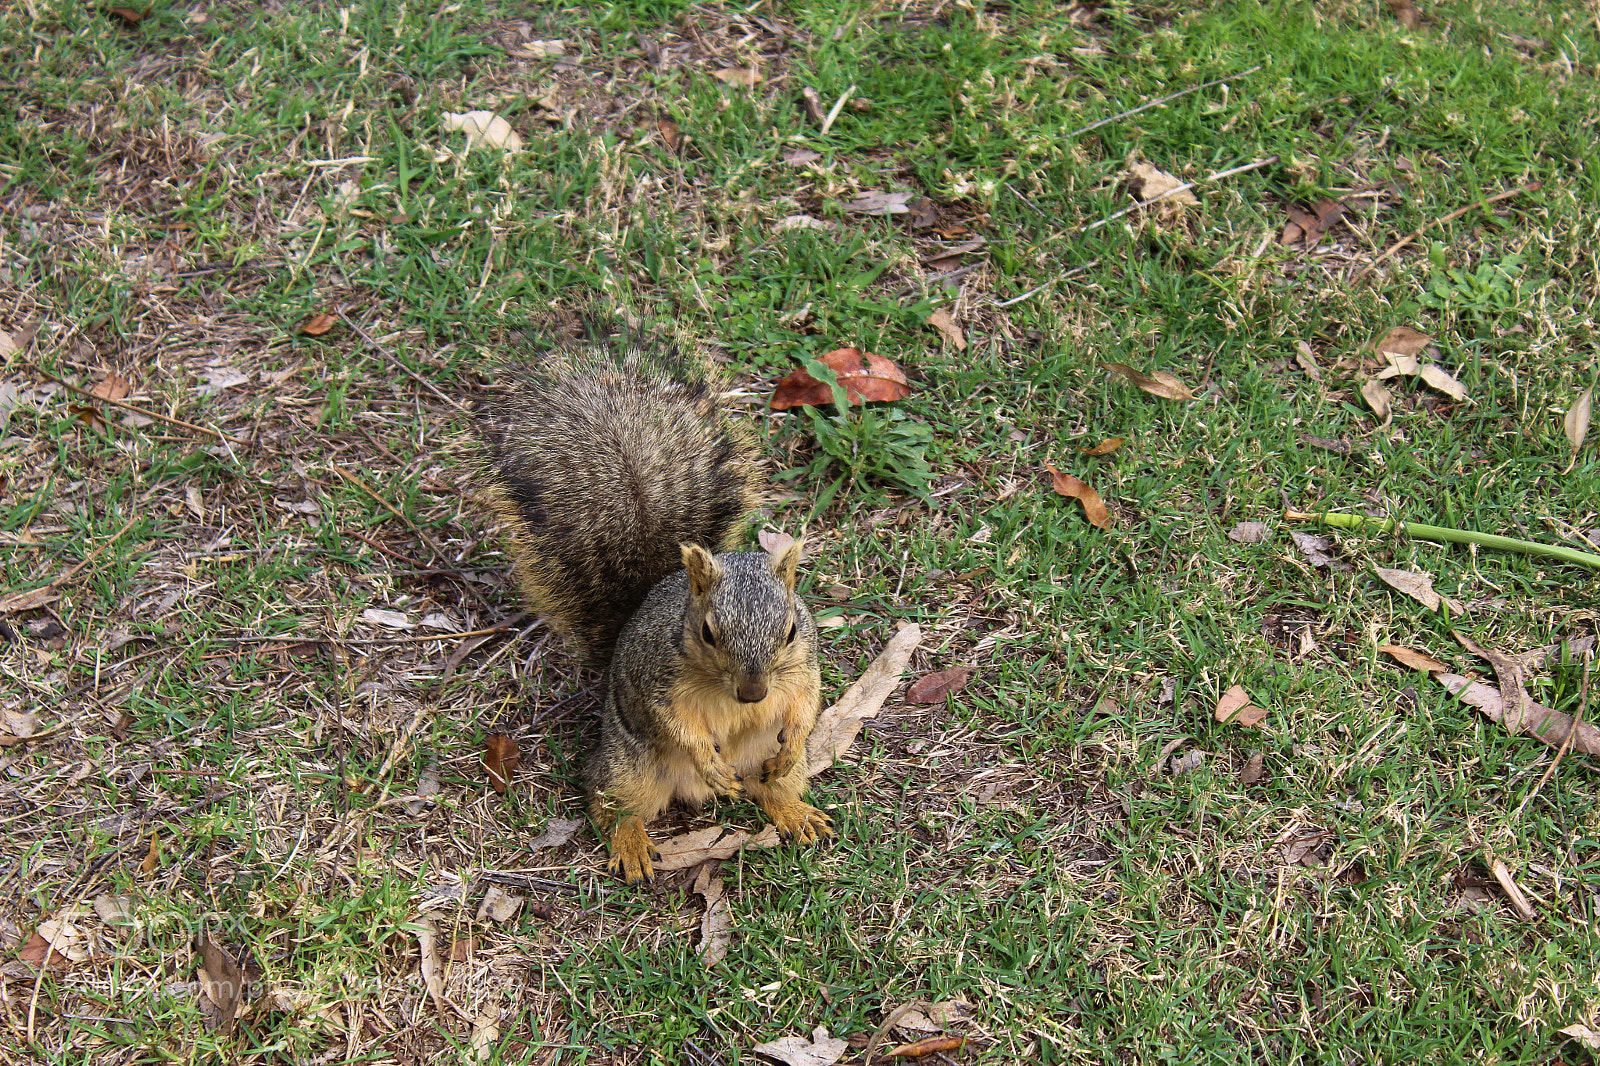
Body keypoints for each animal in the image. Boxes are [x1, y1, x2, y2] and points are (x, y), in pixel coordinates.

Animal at [473, 315, 833, 883]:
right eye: (708, 632)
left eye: (792, 630)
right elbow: (677, 724)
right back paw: (635, 843)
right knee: (610, 804)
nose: (753, 695)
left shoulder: (804, 669)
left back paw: (794, 810)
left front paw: (793, 736)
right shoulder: (656, 682)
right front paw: (708, 758)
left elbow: (806, 704)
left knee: (772, 787)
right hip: (631, 765)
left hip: (767, 768)